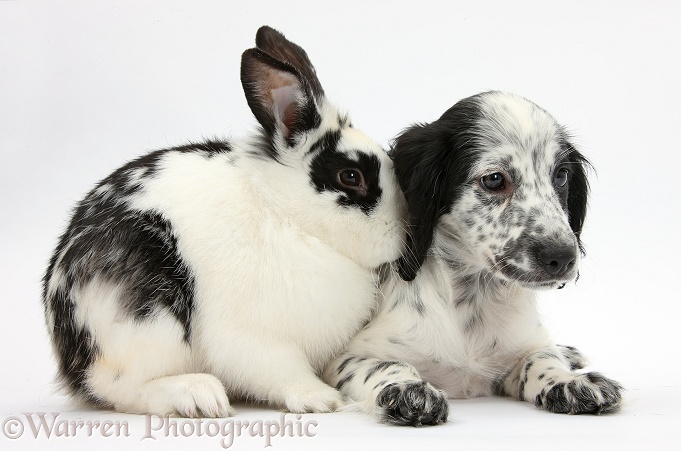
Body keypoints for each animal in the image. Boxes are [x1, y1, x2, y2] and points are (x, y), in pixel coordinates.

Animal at [41, 26, 404, 418]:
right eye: (351, 176)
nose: (402, 233)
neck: (285, 213)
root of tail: (69, 355)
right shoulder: (255, 336)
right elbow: (281, 370)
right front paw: (322, 399)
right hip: (150, 318)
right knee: (119, 386)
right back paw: (199, 395)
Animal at [324, 90, 620, 426]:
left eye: (560, 176)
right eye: (493, 180)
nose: (562, 257)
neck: (475, 298)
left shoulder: (523, 346)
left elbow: (541, 358)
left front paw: (570, 381)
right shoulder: (344, 359)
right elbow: (385, 366)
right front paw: (407, 389)